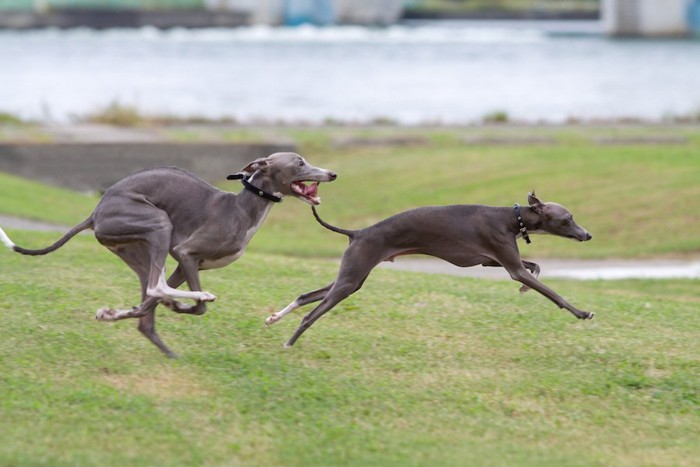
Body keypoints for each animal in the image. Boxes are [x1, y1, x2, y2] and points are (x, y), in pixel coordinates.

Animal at [0, 154, 340, 358]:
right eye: (299, 163)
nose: (332, 173)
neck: (241, 209)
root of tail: (95, 212)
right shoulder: (185, 252)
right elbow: (198, 308)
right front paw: (188, 302)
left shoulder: (184, 264)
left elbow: (150, 307)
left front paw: (121, 313)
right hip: (158, 224)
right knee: (155, 286)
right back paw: (188, 298)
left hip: (137, 248)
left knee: (148, 303)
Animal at [266, 191, 592, 348]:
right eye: (568, 218)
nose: (587, 235)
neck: (513, 218)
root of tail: (358, 232)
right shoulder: (507, 261)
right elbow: (552, 293)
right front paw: (582, 313)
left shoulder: (492, 260)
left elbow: (535, 267)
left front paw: (525, 287)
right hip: (351, 278)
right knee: (311, 314)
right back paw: (289, 344)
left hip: (351, 276)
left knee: (306, 296)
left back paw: (274, 318)